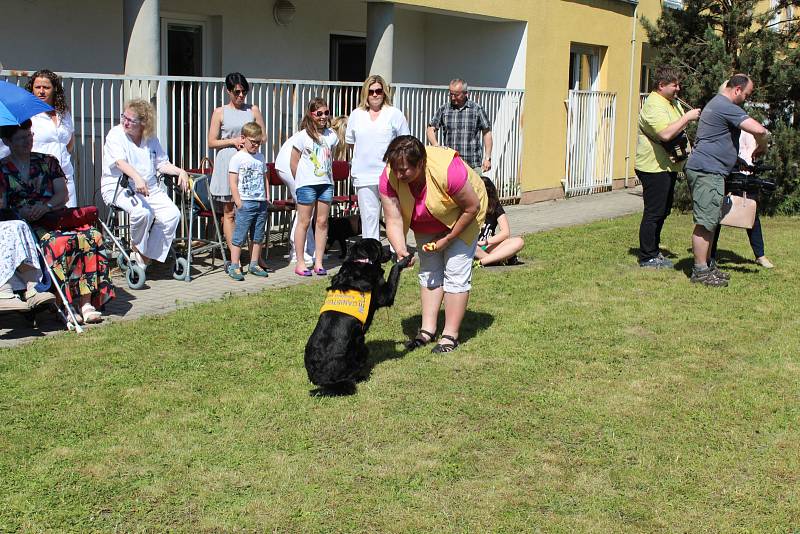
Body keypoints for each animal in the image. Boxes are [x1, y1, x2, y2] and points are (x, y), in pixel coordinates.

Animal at [304, 240, 410, 394]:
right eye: (379, 246)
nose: (390, 253)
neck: (359, 260)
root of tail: (320, 377)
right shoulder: (385, 295)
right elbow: (394, 270)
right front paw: (404, 260)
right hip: (360, 345)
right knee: (352, 377)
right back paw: (362, 377)